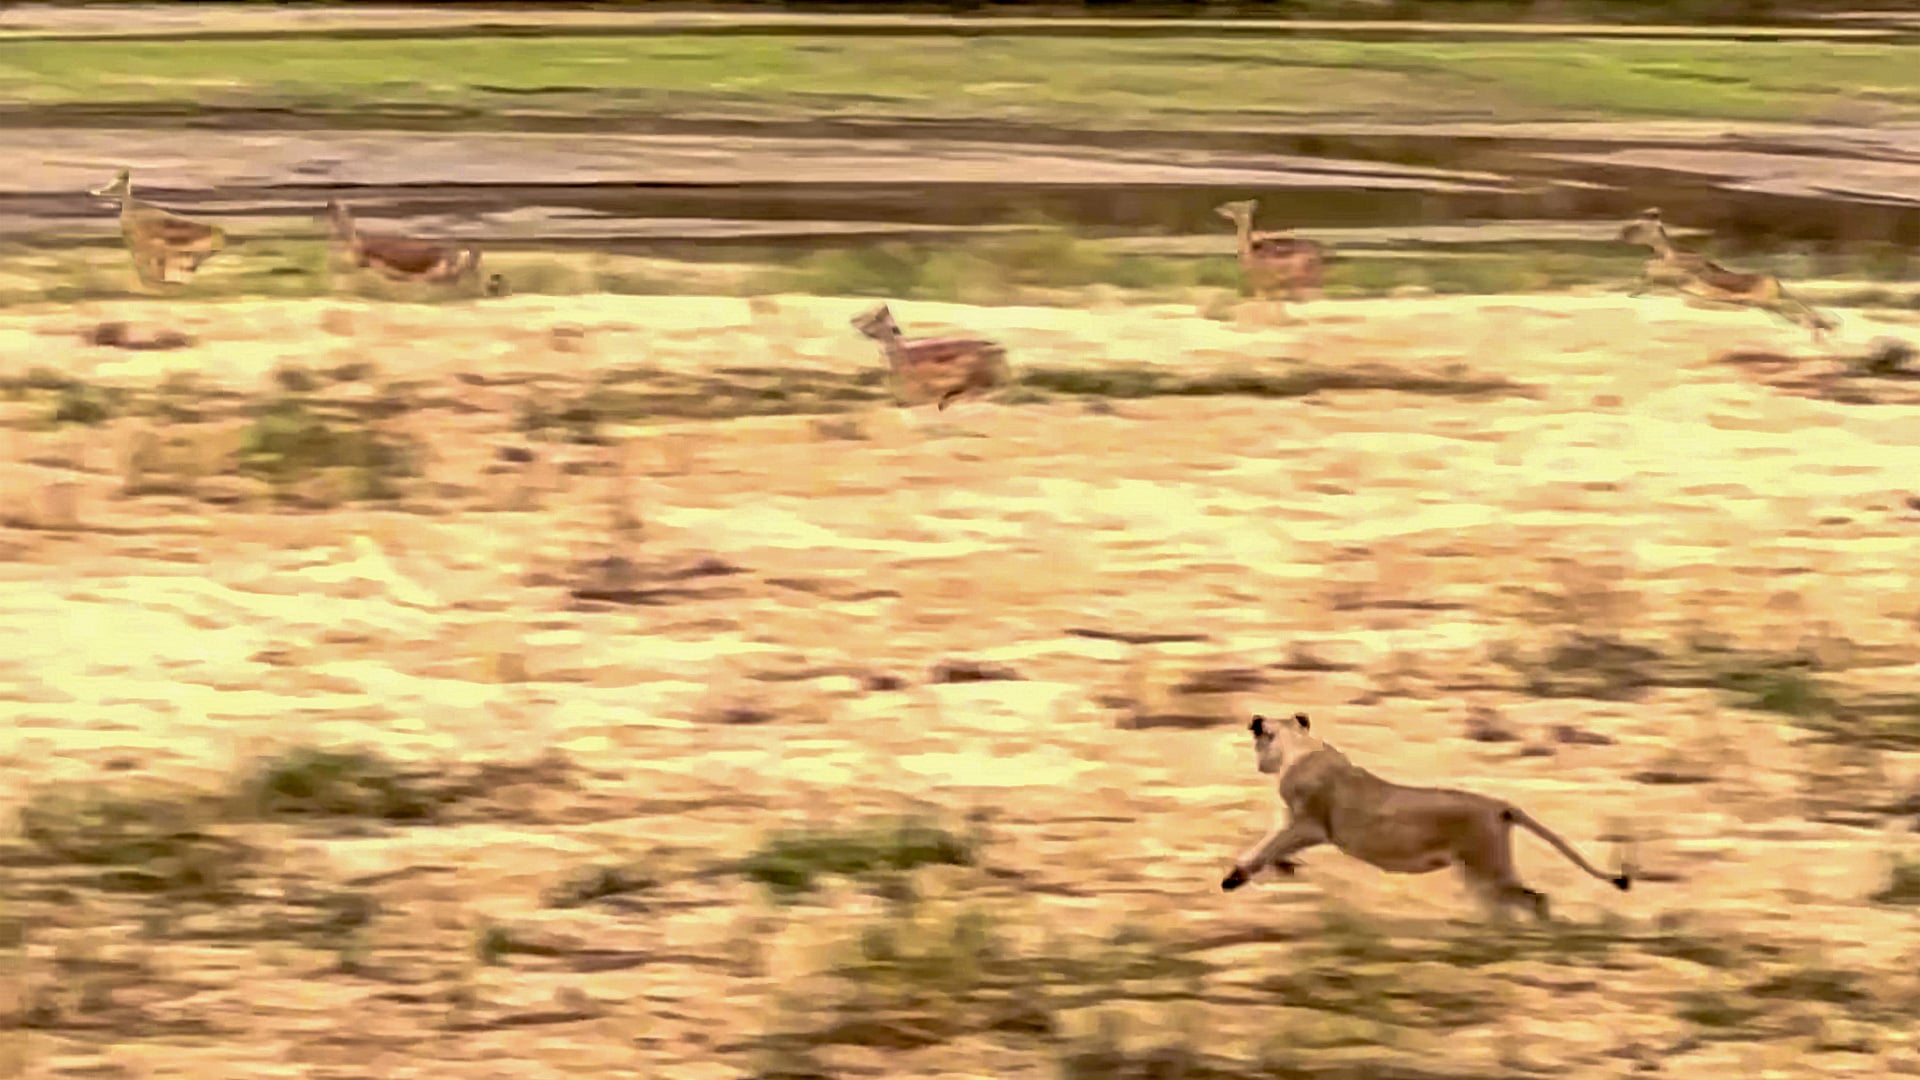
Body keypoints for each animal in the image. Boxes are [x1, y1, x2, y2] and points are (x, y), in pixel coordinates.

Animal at [1221, 712, 1631, 921]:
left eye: (1257, 742)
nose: (1258, 764)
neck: (1299, 747)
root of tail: (1499, 804)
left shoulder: (1309, 823)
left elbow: (1265, 846)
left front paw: (1235, 877)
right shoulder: (1302, 826)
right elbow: (1273, 847)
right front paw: (1283, 868)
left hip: (1485, 868)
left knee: (1532, 900)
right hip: (1478, 871)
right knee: (1523, 900)